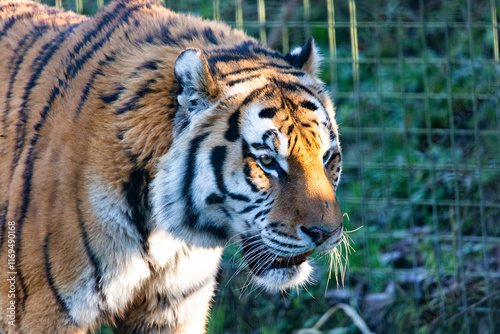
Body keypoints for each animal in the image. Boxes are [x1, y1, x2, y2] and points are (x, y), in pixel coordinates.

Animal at [0, 0, 344, 332]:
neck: (162, 231)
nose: (326, 234)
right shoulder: (43, 313)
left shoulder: (175, 307)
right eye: (268, 161)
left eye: (328, 158)